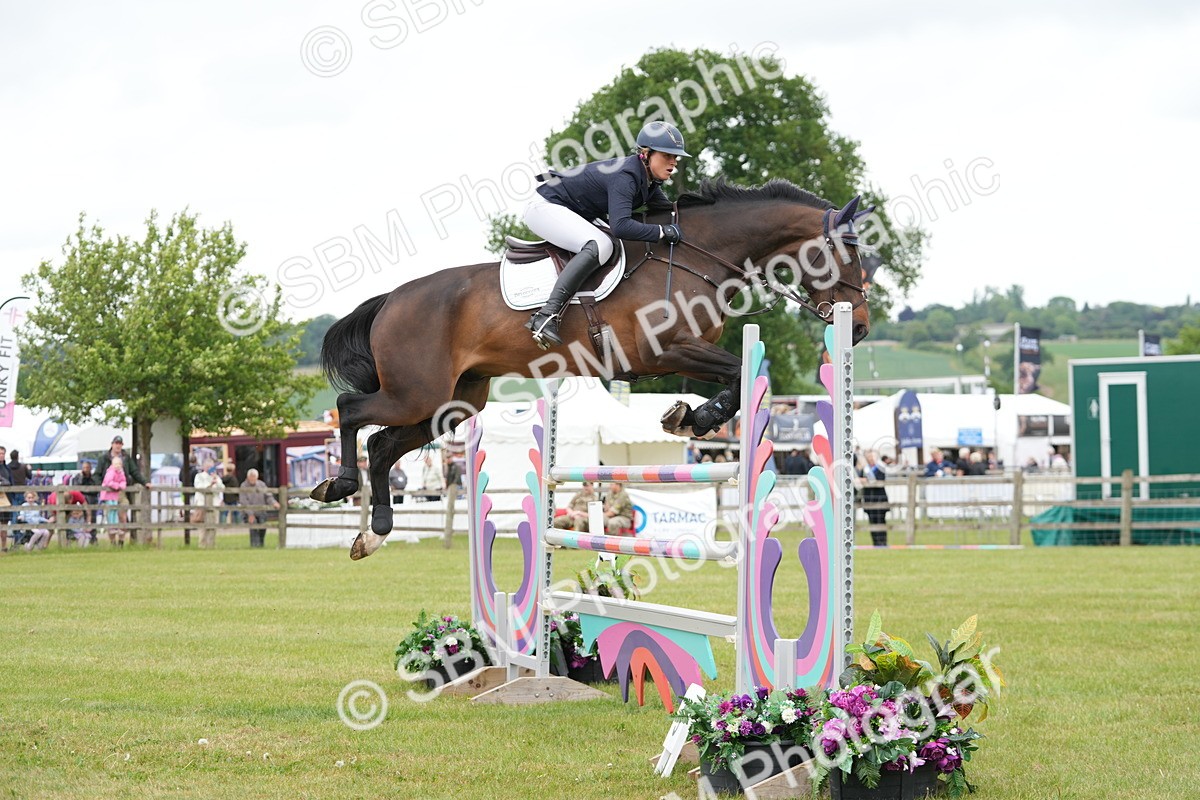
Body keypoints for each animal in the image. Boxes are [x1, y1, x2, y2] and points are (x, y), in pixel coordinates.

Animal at [312, 178, 873, 559]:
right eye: (847, 252)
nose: (862, 326)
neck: (699, 256)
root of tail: (392, 299)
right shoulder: (665, 351)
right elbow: (739, 374)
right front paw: (695, 419)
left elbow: (738, 380)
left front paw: (688, 417)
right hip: (416, 392)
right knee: (351, 409)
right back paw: (338, 486)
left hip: (456, 401)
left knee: (383, 445)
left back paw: (374, 532)